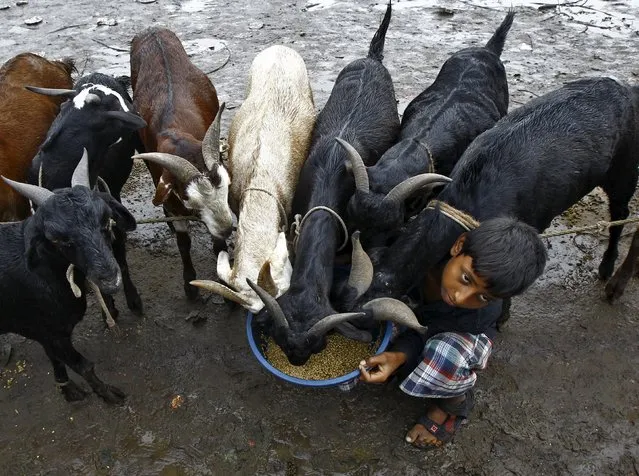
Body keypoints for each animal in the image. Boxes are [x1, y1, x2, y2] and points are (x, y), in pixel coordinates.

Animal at [0, 152, 135, 402]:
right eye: (57, 239)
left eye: (106, 220)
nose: (110, 280)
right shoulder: (49, 332)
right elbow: (84, 366)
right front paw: (109, 395)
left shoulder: (47, 334)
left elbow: (55, 359)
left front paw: (68, 389)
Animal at [25, 72, 147, 322]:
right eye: (116, 105)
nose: (137, 113)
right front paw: (108, 308)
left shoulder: (110, 212)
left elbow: (119, 256)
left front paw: (132, 300)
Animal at [130, 26, 232, 300]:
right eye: (189, 200)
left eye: (227, 189)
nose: (229, 228)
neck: (177, 134)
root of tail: (153, 30)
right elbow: (183, 242)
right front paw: (190, 285)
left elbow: (218, 244)